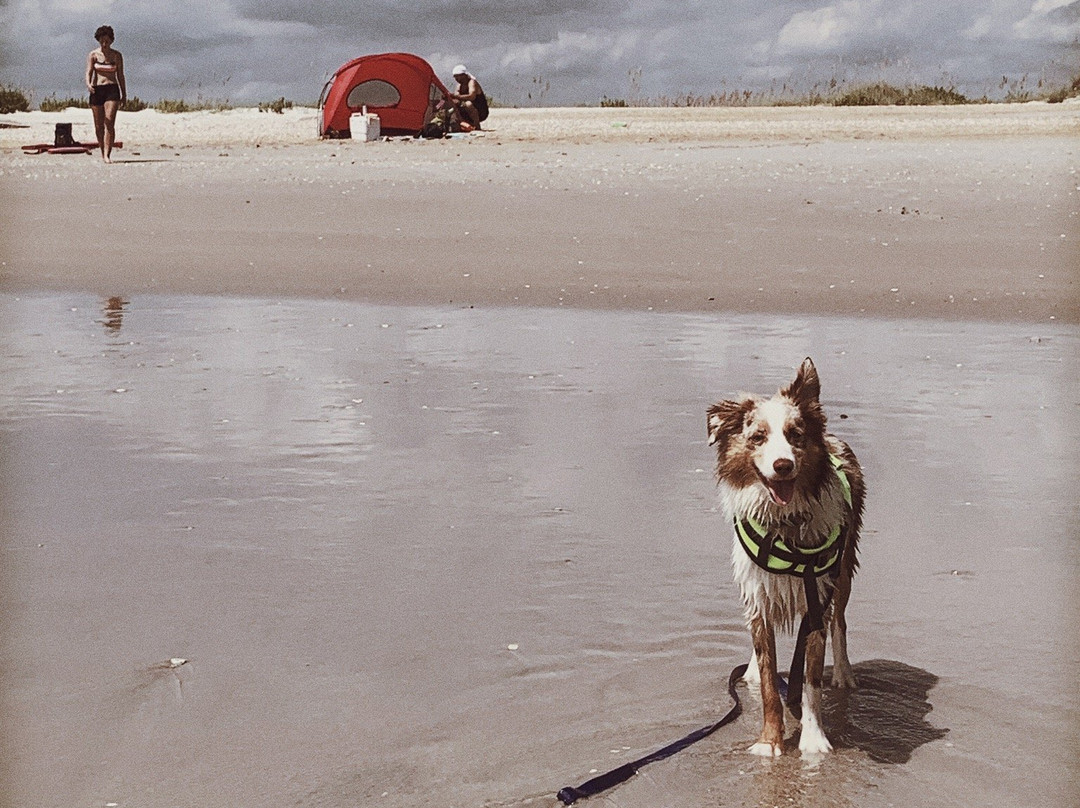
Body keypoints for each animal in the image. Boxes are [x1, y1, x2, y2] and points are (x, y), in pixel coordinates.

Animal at [704, 356, 864, 756]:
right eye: (758, 437)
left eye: (795, 435)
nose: (783, 465)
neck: (785, 526)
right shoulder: (758, 592)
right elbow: (767, 679)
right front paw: (769, 742)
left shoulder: (817, 594)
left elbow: (810, 680)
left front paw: (813, 740)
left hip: (844, 571)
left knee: (840, 622)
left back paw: (844, 672)